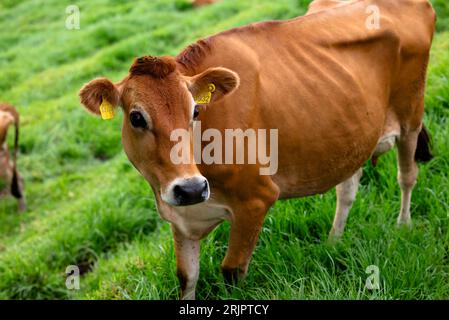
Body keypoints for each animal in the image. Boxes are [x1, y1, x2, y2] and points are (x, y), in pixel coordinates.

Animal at [79, 0, 434, 300]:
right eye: (137, 117)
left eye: (195, 111)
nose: (191, 188)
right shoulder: (179, 217)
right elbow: (186, 277)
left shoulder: (256, 198)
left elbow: (231, 271)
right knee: (347, 189)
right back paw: (334, 241)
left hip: (411, 114)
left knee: (407, 175)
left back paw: (403, 226)